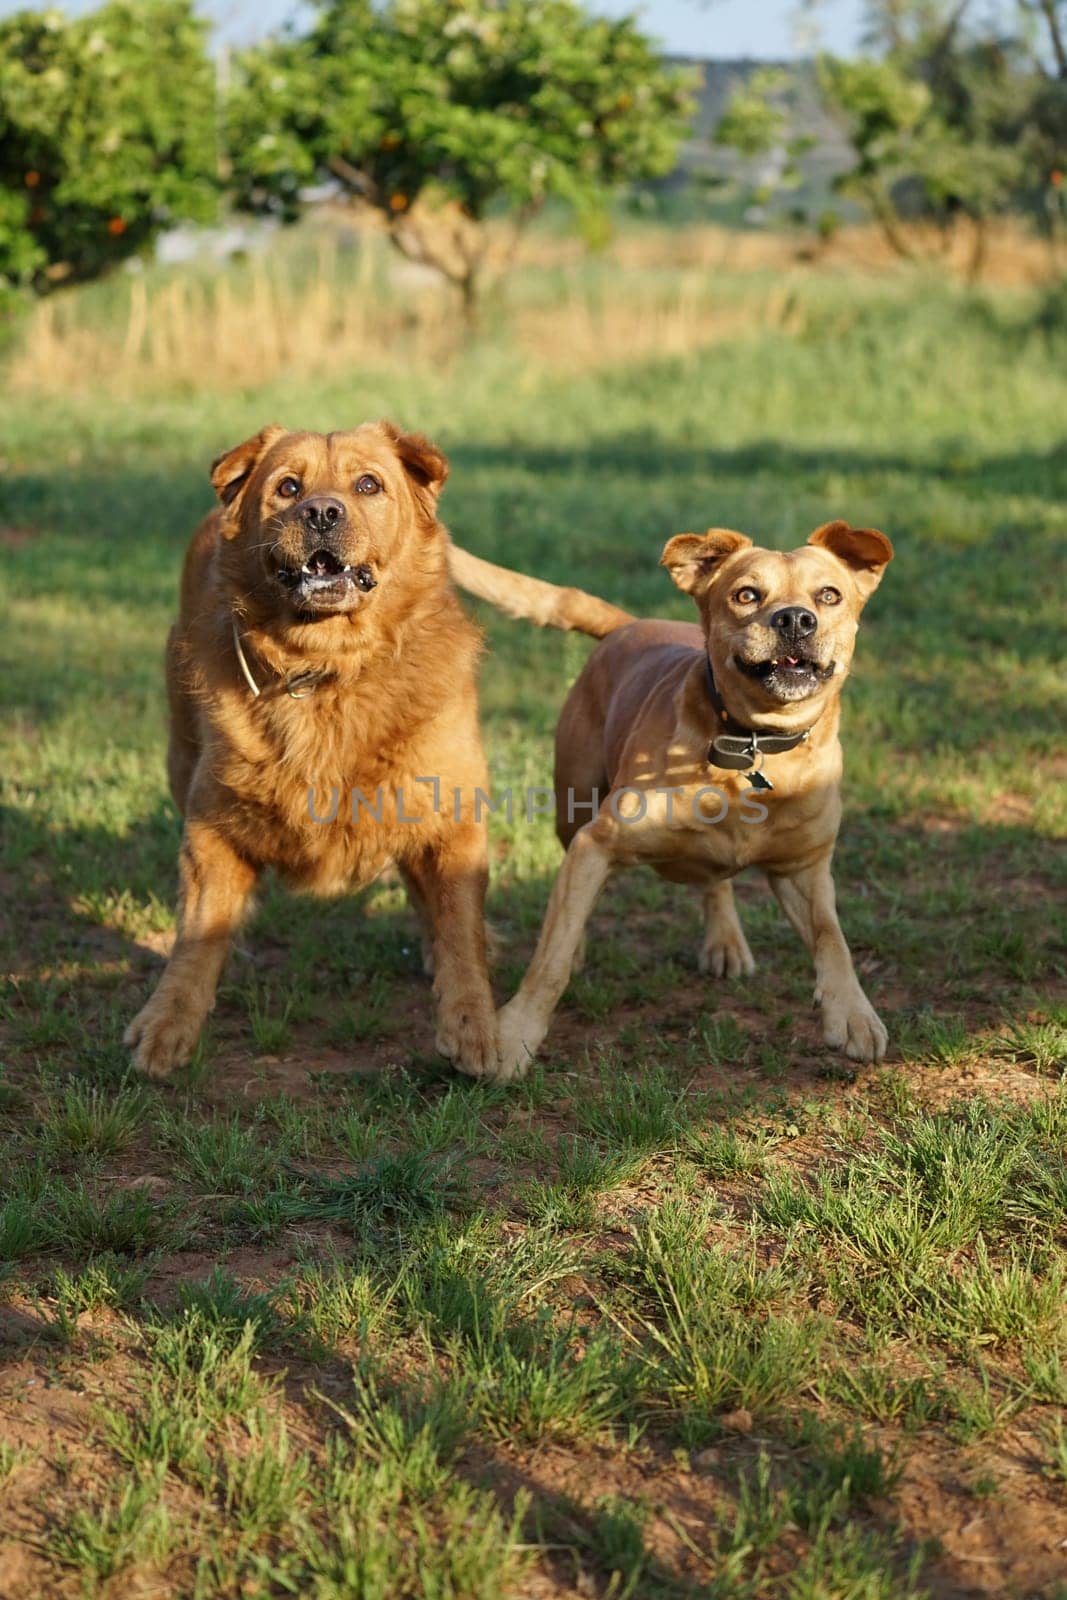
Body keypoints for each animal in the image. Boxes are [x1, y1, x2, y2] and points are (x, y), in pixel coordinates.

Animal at [127, 419, 630, 1081]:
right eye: (288, 487)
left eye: (368, 484)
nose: (321, 512)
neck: (330, 670)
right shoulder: (213, 824)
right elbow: (198, 934)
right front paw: (167, 1024)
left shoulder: (450, 817)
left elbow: (460, 930)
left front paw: (472, 1026)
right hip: (180, 756)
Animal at [489, 518, 895, 1081]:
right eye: (746, 595)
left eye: (829, 595)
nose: (795, 619)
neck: (755, 745)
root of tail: (629, 625)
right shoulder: (597, 845)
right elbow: (551, 957)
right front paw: (515, 1033)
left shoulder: (802, 869)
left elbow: (832, 939)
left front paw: (853, 1013)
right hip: (572, 808)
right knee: (569, 905)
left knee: (714, 882)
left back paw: (725, 941)